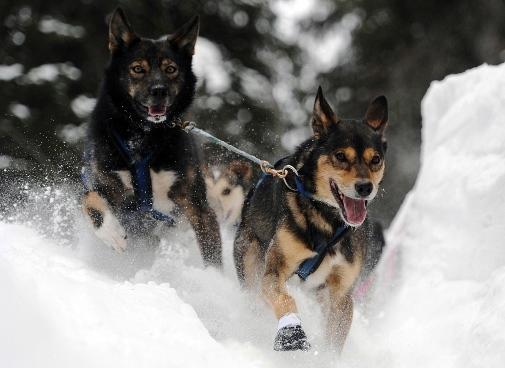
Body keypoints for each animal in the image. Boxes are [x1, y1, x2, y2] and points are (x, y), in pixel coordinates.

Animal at [81, 7, 221, 268]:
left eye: (170, 69)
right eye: (138, 69)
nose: (159, 90)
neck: (144, 136)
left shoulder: (197, 206)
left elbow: (212, 255)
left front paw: (212, 279)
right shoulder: (102, 182)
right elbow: (91, 200)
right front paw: (112, 233)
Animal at [234, 87, 388, 352]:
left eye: (375, 159)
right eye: (340, 156)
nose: (365, 187)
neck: (328, 222)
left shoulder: (341, 295)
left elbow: (334, 341)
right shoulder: (274, 271)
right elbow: (284, 298)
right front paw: (291, 332)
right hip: (250, 260)